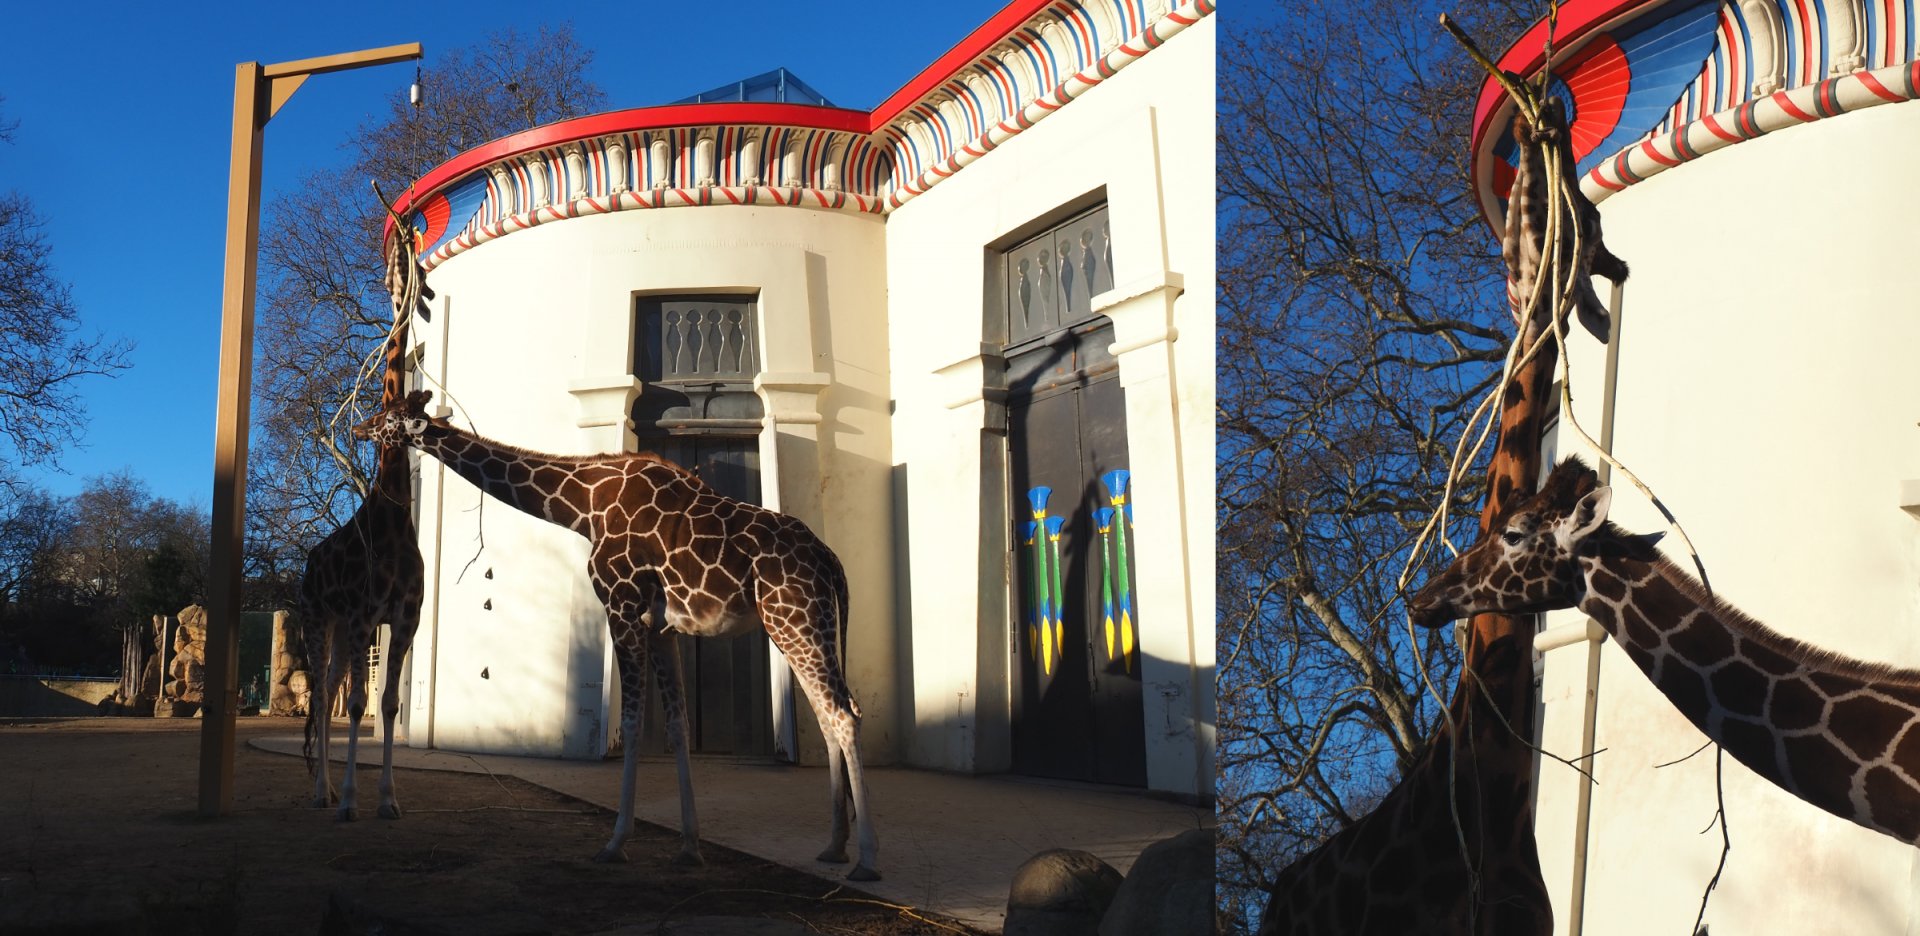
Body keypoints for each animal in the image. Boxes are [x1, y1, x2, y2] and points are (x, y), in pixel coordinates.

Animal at [351, 388, 880, 880]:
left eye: (392, 415)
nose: (360, 426)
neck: (583, 506)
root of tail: (830, 561)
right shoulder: (662, 626)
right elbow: (677, 725)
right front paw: (690, 847)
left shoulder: (620, 603)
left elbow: (629, 721)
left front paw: (615, 842)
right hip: (803, 623)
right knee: (829, 715)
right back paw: (834, 846)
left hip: (795, 618)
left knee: (843, 714)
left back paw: (867, 860)